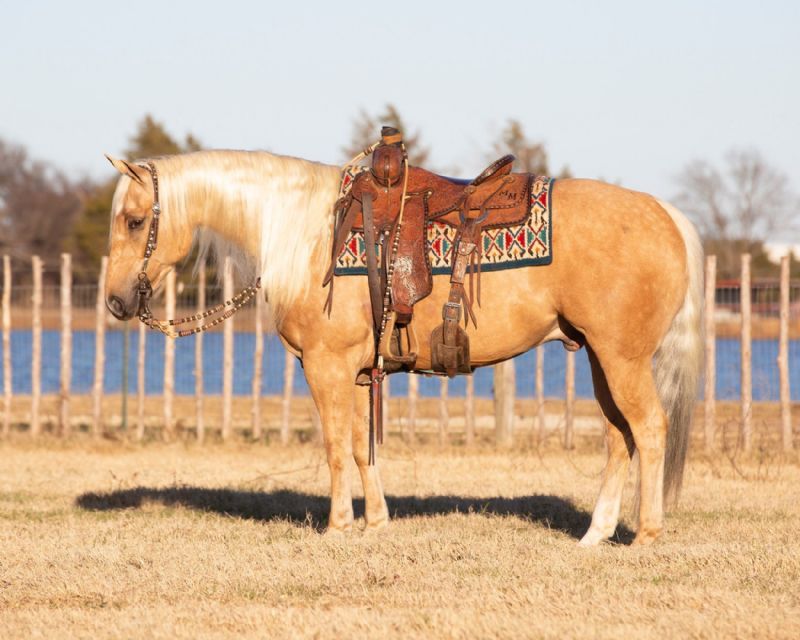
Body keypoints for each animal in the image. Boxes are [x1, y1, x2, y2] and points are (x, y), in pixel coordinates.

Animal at [103, 148, 703, 546]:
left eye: (134, 221)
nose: (114, 301)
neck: (306, 233)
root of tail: (667, 214)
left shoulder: (325, 366)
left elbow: (334, 446)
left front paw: (338, 526)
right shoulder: (352, 371)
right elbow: (358, 444)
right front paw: (375, 521)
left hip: (623, 360)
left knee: (649, 429)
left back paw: (647, 535)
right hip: (602, 358)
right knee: (619, 437)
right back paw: (595, 535)